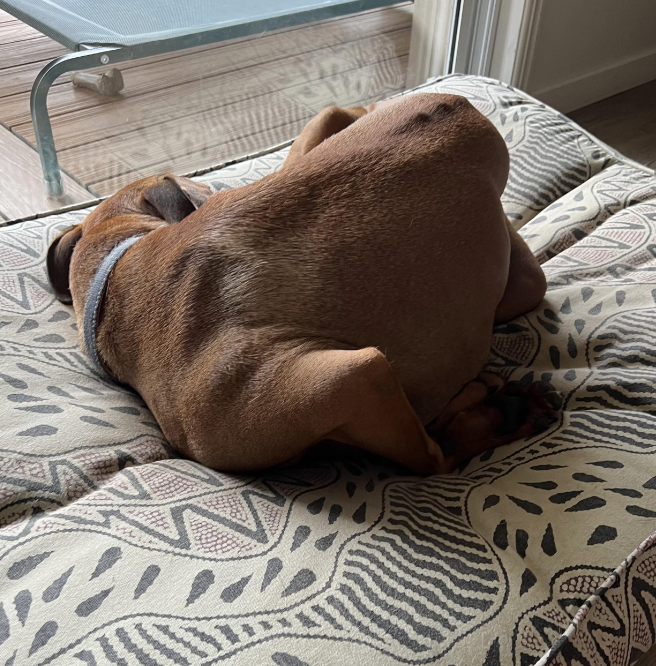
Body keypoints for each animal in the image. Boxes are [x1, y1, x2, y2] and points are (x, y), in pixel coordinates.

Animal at [47, 94, 560, 478]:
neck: (112, 284)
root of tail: (457, 103)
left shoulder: (349, 378)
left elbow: (431, 456)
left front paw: (482, 418)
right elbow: (432, 450)